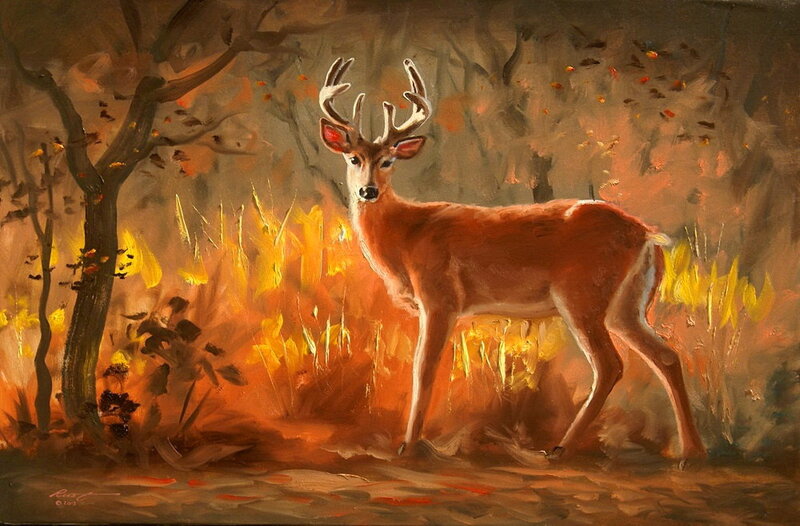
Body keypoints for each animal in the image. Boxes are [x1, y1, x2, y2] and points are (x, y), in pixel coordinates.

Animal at [318, 57, 706, 460]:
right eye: (353, 158)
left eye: (388, 161)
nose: (368, 190)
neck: (407, 236)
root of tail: (645, 234)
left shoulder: (439, 297)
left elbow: (423, 370)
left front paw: (409, 445)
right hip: (627, 305)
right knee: (666, 356)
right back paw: (691, 451)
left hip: (583, 294)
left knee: (609, 364)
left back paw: (561, 447)